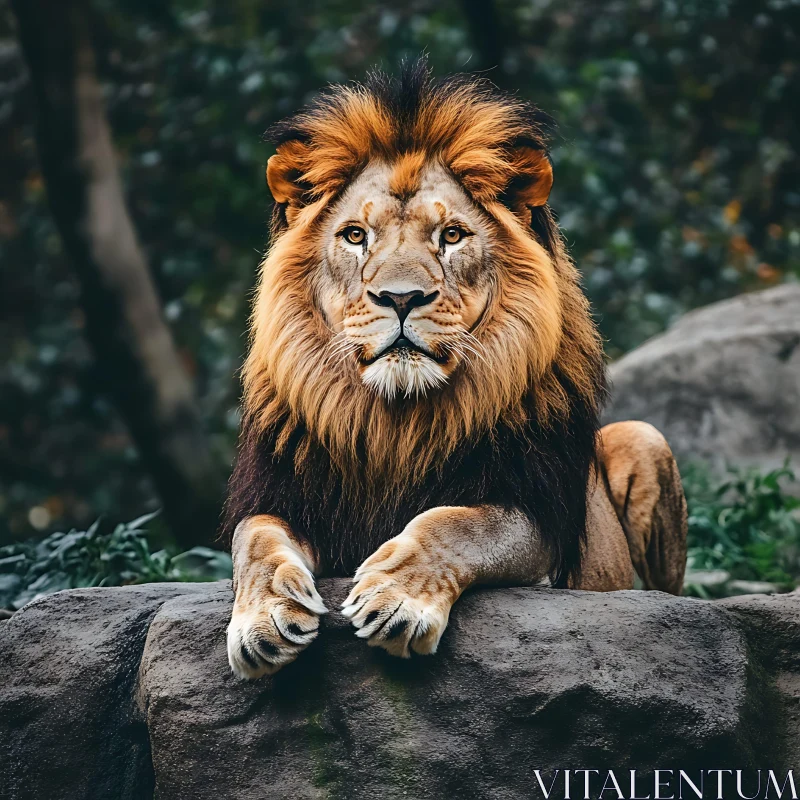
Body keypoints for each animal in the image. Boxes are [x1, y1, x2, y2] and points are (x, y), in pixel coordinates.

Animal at [222, 59, 684, 680]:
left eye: (452, 236)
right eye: (355, 235)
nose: (400, 297)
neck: (395, 421)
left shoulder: (535, 516)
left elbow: (454, 522)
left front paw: (395, 600)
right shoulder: (284, 493)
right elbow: (254, 540)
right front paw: (264, 620)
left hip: (644, 439)